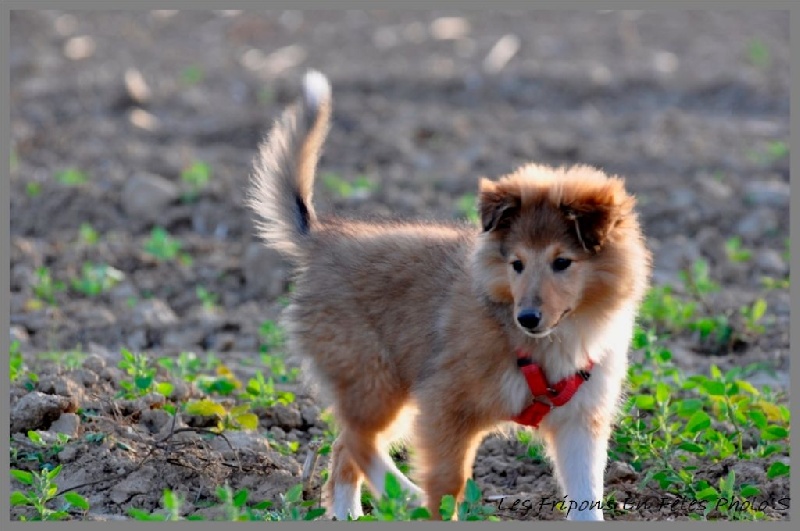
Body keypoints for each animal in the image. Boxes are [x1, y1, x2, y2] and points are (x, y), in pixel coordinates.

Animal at [248, 68, 648, 520]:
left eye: (562, 262)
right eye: (517, 264)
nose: (527, 318)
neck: (557, 339)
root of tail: (321, 238)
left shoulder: (580, 422)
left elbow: (587, 496)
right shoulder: (445, 406)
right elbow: (447, 485)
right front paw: (431, 507)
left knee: (343, 448)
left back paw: (349, 513)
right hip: (374, 379)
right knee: (356, 438)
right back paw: (403, 495)